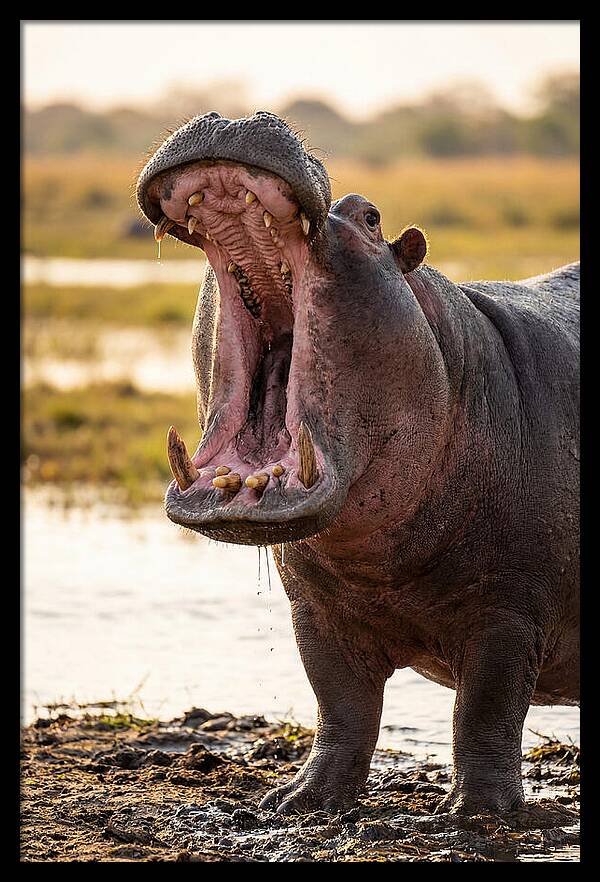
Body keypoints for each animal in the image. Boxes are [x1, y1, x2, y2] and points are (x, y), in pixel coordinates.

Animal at [136, 111, 579, 815]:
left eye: (371, 217)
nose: (236, 116)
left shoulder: (509, 614)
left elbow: (486, 711)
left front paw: (480, 814)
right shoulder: (315, 612)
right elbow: (341, 704)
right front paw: (299, 801)